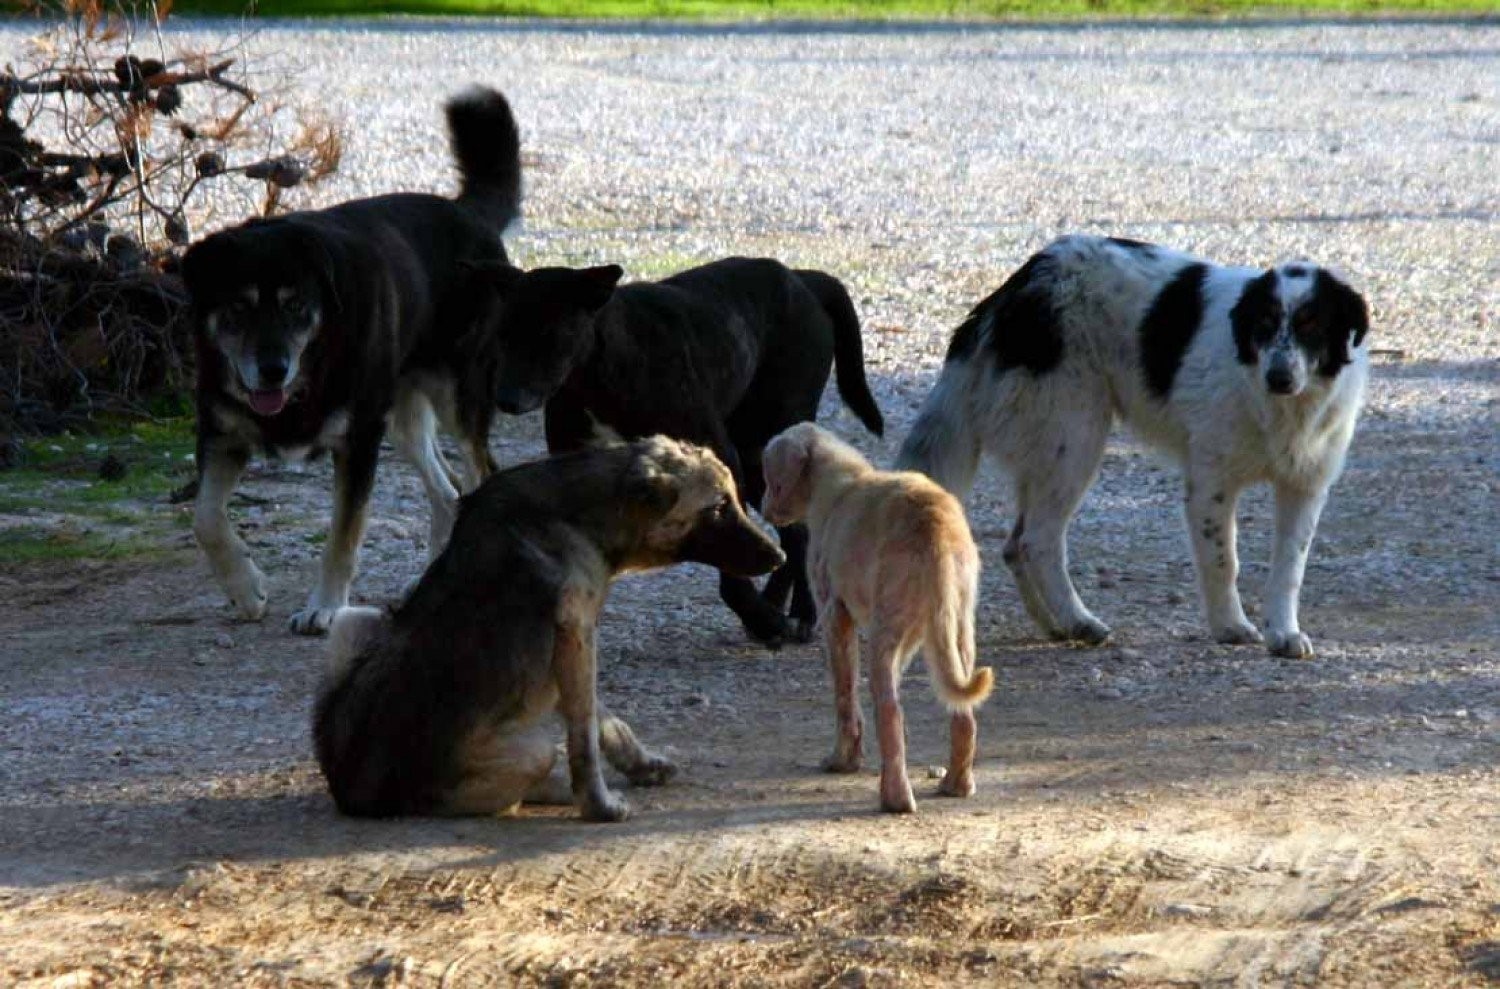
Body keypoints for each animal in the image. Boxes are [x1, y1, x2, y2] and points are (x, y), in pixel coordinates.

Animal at [183, 88, 522, 639]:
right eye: (238, 308)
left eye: (296, 306)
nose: (272, 370)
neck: (310, 367)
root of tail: (467, 214)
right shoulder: (222, 434)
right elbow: (205, 518)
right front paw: (246, 590)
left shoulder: (358, 441)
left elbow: (343, 537)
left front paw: (324, 607)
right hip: (403, 416)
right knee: (448, 492)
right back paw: (426, 583)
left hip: (457, 397)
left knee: (479, 474)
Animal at [316, 438, 786, 822]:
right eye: (718, 507)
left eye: (735, 500)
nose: (779, 556)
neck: (578, 515)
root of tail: (350, 791)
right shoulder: (577, 637)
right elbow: (584, 738)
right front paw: (598, 806)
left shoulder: (573, 648)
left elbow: (604, 720)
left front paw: (640, 766)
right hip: (528, 753)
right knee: (508, 789)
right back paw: (552, 790)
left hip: (355, 620)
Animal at [456, 253, 876, 651]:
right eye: (502, 335)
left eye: (550, 333)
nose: (506, 398)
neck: (600, 371)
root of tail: (801, 278)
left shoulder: (721, 461)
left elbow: (731, 564)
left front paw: (761, 619)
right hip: (758, 461)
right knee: (793, 531)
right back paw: (777, 602)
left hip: (765, 441)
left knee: (799, 530)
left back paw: (800, 613)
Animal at [762, 423, 996, 816]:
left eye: (771, 480)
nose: (764, 511)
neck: (840, 480)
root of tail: (937, 529)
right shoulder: (914, 636)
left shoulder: (835, 615)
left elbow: (845, 696)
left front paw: (843, 761)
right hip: (956, 628)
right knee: (962, 713)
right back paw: (956, 784)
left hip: (885, 631)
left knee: (889, 710)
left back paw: (895, 798)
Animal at [900, 235, 1374, 660]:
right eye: (1265, 324)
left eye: (1312, 325)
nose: (1279, 377)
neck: (1280, 406)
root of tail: (1017, 286)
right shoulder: (1212, 483)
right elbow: (1223, 560)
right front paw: (1230, 626)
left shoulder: (1305, 487)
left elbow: (1289, 568)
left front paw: (1283, 633)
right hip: (1075, 437)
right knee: (1038, 539)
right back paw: (1078, 620)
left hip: (1048, 450)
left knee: (1015, 545)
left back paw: (1055, 625)